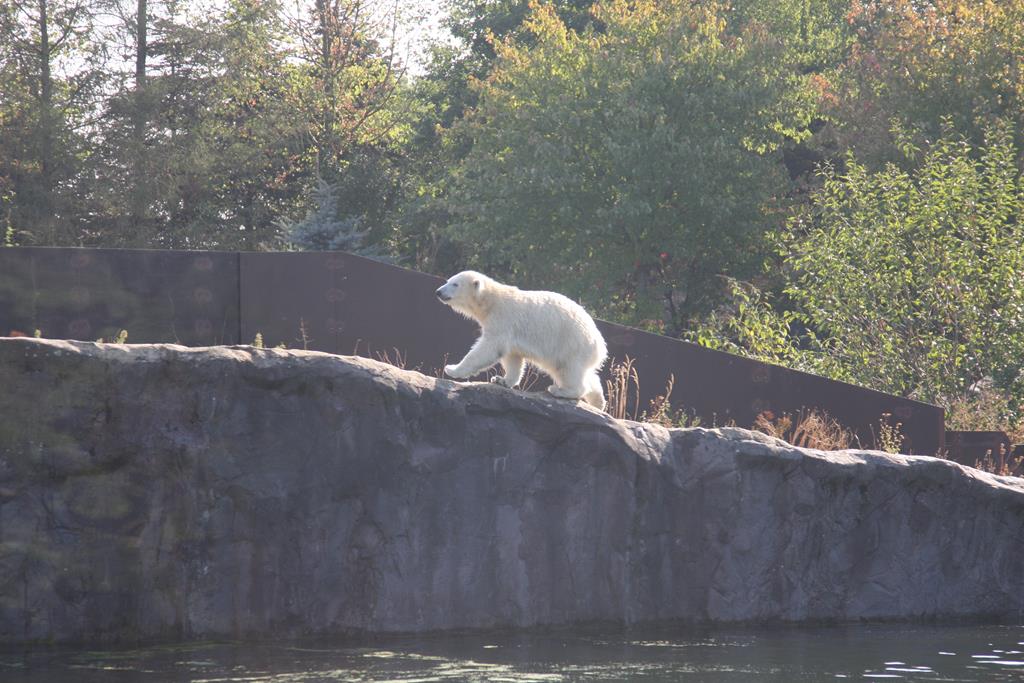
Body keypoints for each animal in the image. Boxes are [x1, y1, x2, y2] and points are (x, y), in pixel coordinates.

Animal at [434, 270, 606, 411]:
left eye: (455, 284)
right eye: (448, 280)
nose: (438, 292)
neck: (491, 301)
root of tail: (600, 347)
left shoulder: (503, 319)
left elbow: (489, 348)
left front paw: (452, 369)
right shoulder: (511, 332)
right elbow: (512, 358)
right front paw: (501, 380)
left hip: (571, 344)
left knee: (568, 370)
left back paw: (560, 391)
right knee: (586, 373)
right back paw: (598, 402)